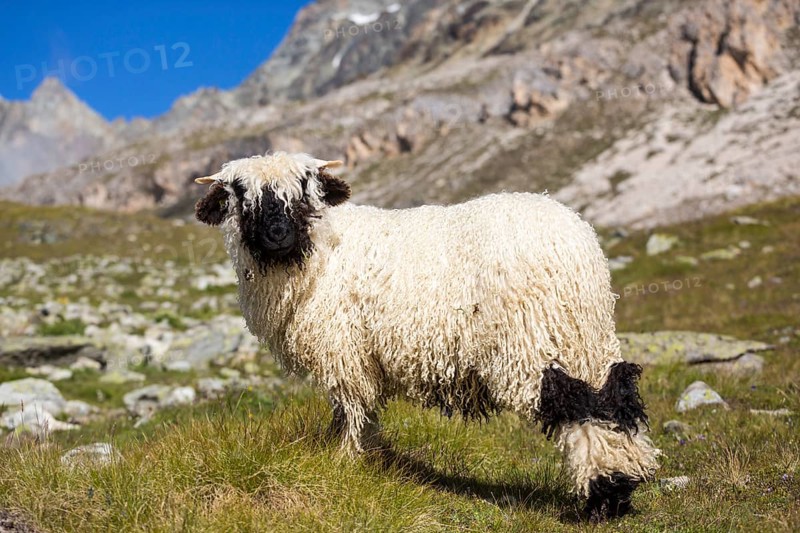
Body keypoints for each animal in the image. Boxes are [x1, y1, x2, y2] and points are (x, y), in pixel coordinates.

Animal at [194, 151, 660, 519]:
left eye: (305, 188)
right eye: (240, 194)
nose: (278, 234)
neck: (318, 252)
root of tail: (578, 239)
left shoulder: (343, 352)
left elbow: (349, 412)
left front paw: (343, 460)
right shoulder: (359, 357)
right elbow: (363, 413)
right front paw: (365, 458)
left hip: (538, 341)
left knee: (579, 405)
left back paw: (603, 498)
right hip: (585, 338)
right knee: (614, 399)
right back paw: (620, 490)